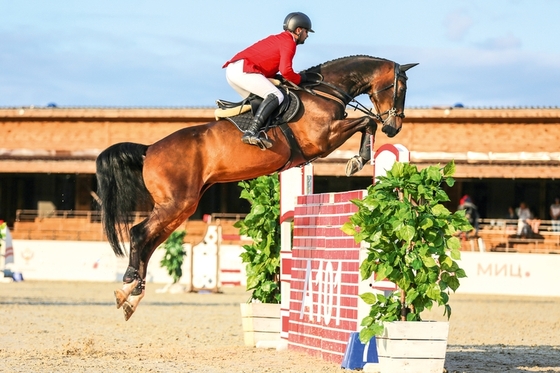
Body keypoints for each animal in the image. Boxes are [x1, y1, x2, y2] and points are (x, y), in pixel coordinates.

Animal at [96, 55, 416, 320]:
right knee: (139, 234)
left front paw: (359, 157)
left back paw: (131, 295)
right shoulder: (324, 138)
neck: (325, 91)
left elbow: (366, 122)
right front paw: (357, 160)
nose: (394, 128)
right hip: (177, 203)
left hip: (181, 207)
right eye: (401, 89)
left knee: (150, 242)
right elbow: (366, 122)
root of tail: (149, 150)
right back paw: (129, 284)